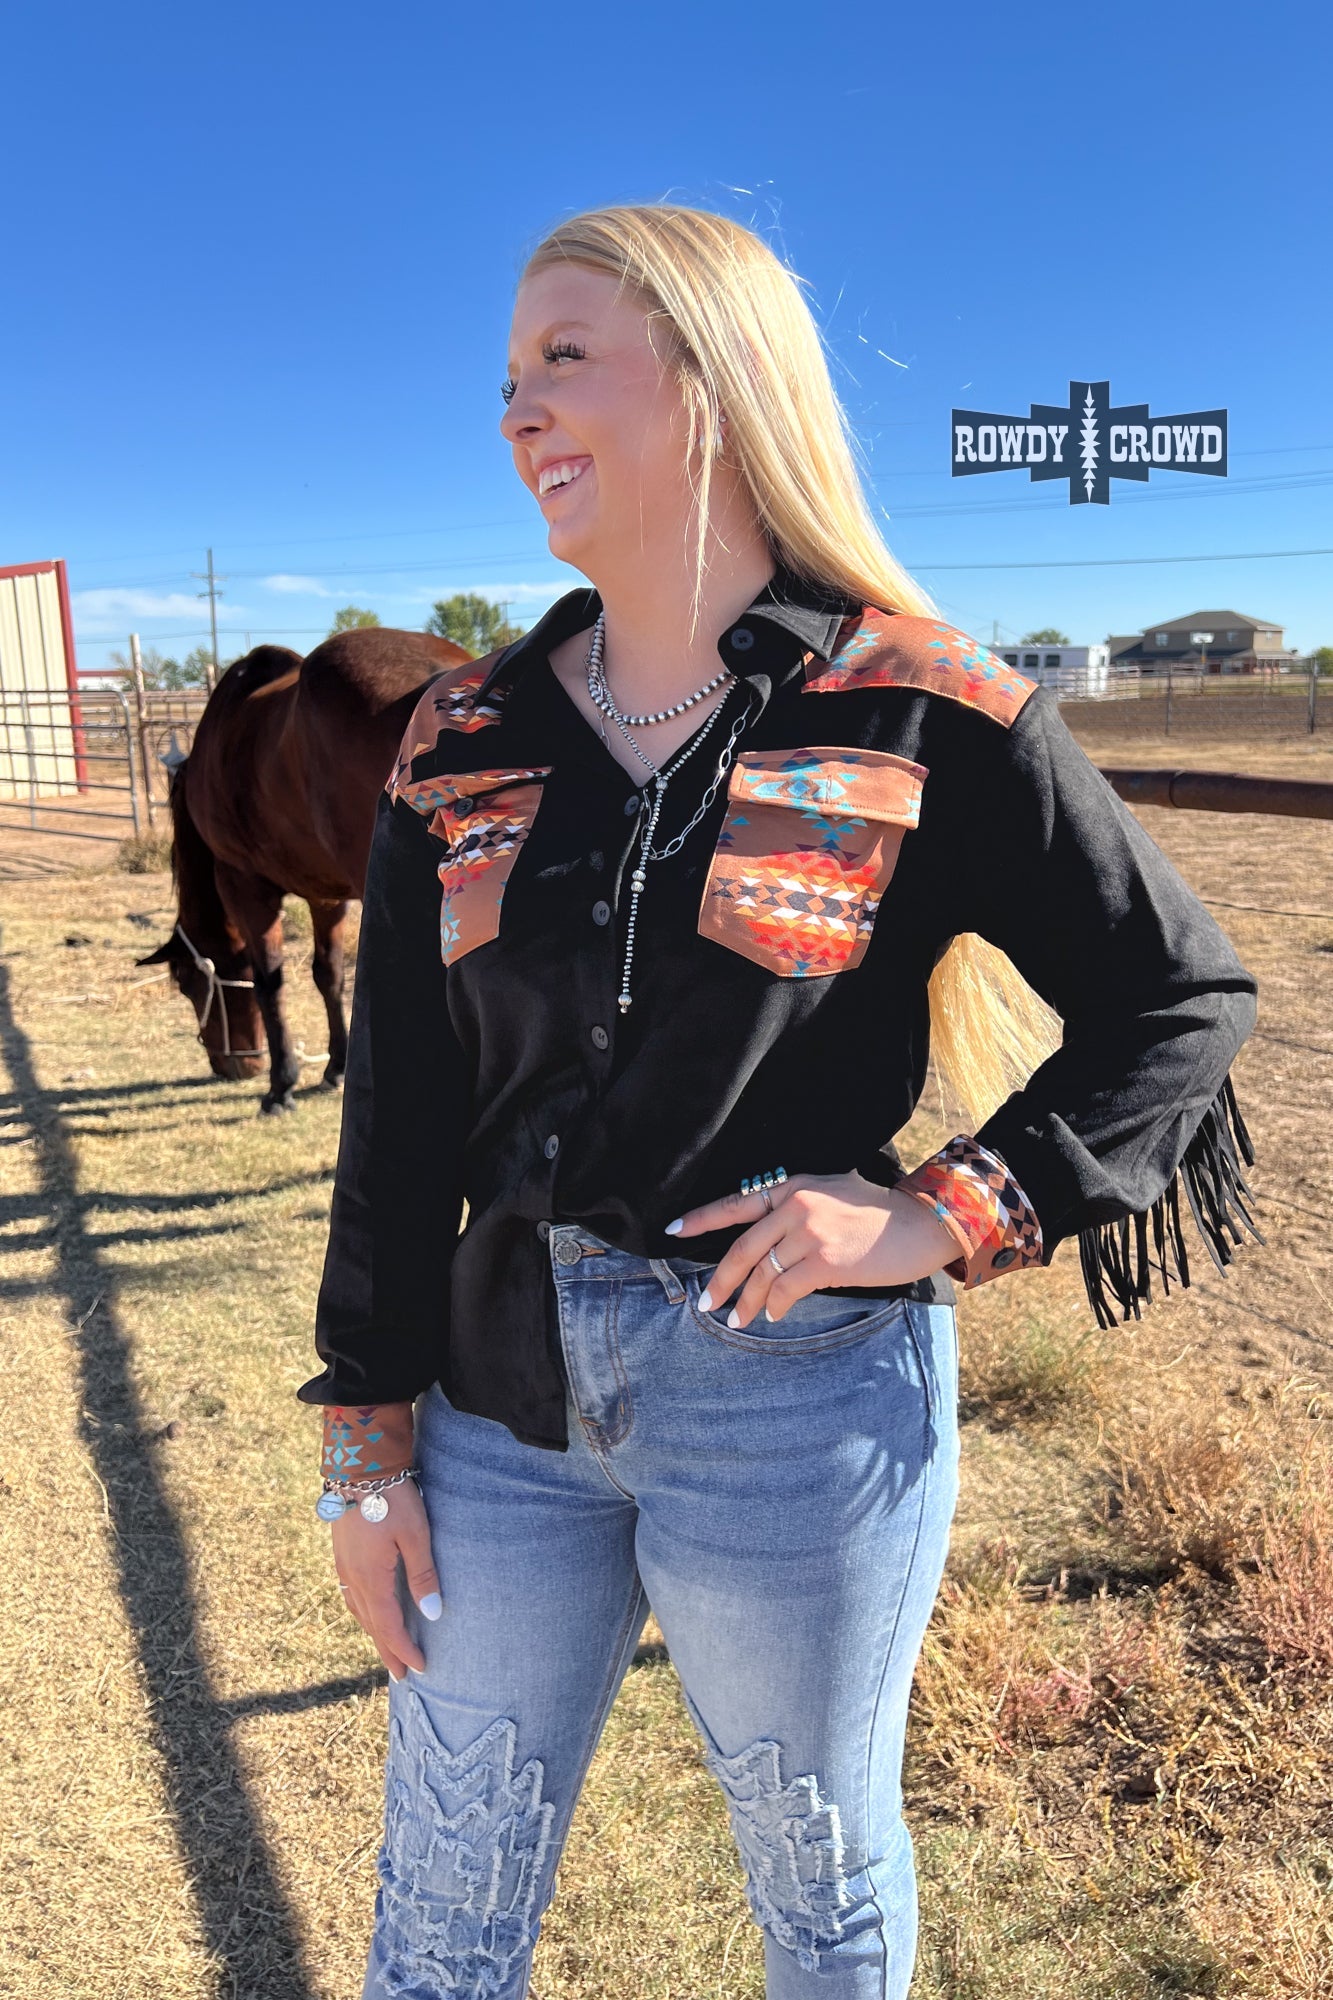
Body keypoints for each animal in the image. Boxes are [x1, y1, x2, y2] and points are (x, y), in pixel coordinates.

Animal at [139, 628, 472, 1112]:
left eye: (185, 984)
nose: (231, 1065)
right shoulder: (326, 895)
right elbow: (328, 975)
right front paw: (336, 1066)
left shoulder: (243, 885)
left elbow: (269, 982)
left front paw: (281, 1085)